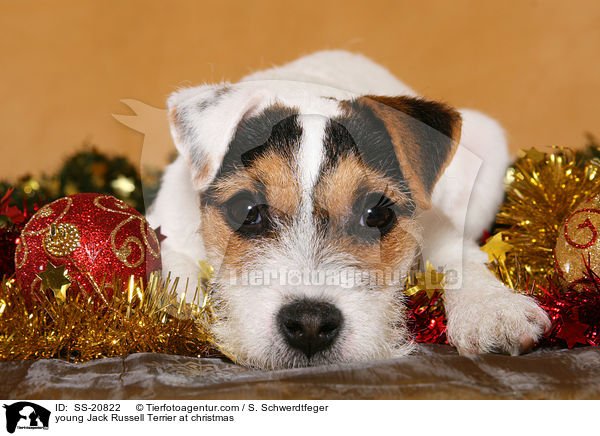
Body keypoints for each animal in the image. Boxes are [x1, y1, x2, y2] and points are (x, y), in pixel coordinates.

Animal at [148, 52, 552, 372]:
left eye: (376, 214)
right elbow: (174, 268)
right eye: (245, 210)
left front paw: (493, 309)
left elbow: (458, 256)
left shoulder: (438, 224)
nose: (310, 324)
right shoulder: (169, 227)